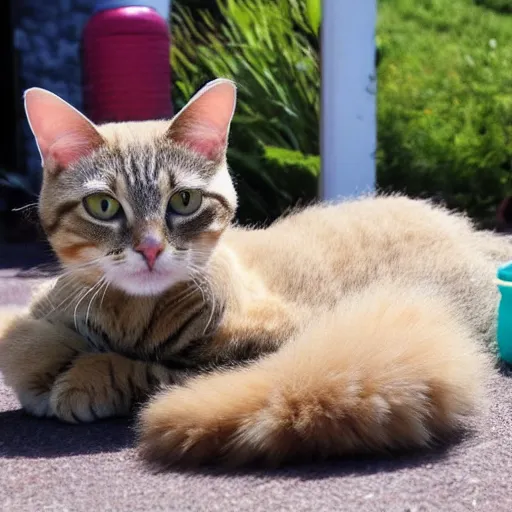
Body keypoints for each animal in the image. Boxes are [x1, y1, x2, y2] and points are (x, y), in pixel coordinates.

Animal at [1, 79, 512, 468]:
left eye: (183, 201)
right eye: (103, 206)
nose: (149, 248)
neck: (130, 313)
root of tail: (469, 231)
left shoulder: (272, 346)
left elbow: (157, 370)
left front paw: (84, 376)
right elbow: (25, 338)